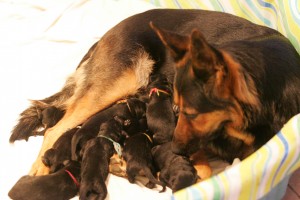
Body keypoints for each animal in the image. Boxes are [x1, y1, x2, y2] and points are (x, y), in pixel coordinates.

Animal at [9, 9, 300, 175]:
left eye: (190, 112)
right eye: (180, 110)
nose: (167, 144)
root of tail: (103, 37)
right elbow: (206, 171)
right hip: (118, 82)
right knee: (55, 129)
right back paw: (41, 169)